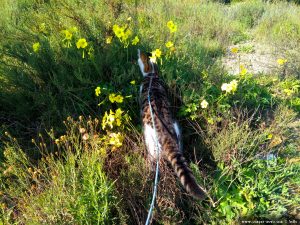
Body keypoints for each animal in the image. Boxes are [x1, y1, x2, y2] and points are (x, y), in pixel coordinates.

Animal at [138, 48, 206, 199]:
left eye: (140, 57)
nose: (138, 51)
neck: (152, 76)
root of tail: (165, 134)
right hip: (177, 132)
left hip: (150, 141)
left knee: (154, 161)